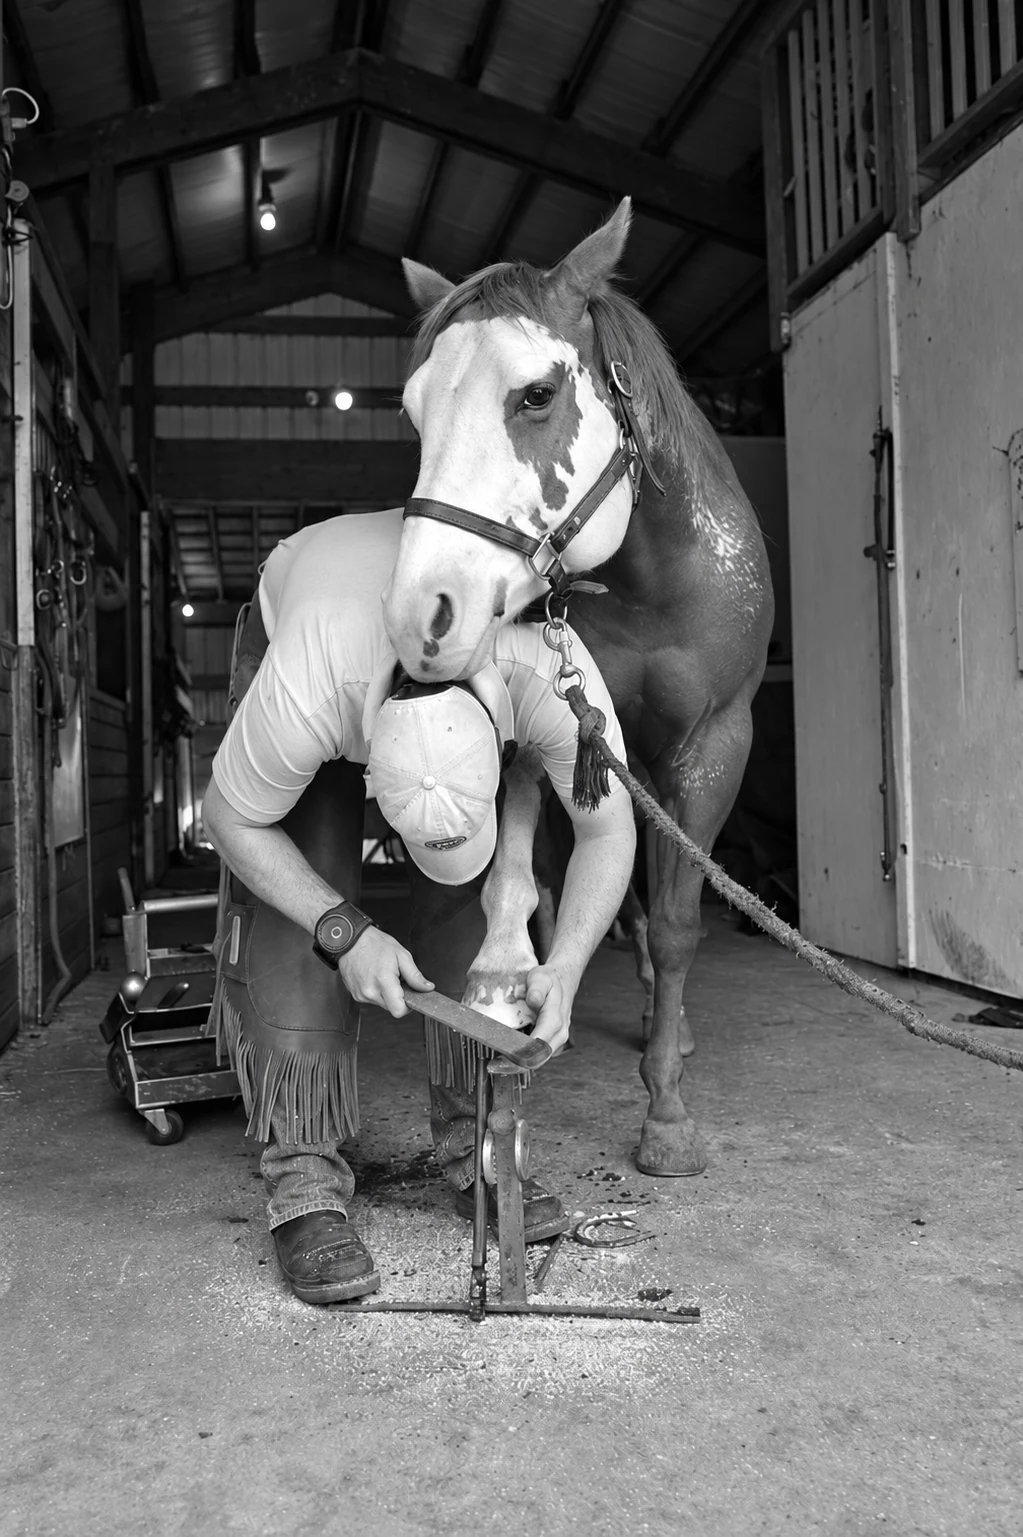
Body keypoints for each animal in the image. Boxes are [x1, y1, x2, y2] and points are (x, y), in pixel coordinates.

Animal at [382, 198, 774, 1178]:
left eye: (535, 395)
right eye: (414, 412)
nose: (421, 614)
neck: (648, 574)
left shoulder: (714, 742)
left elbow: (676, 921)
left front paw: (666, 1113)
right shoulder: (553, 724)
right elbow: (523, 877)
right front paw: (499, 976)